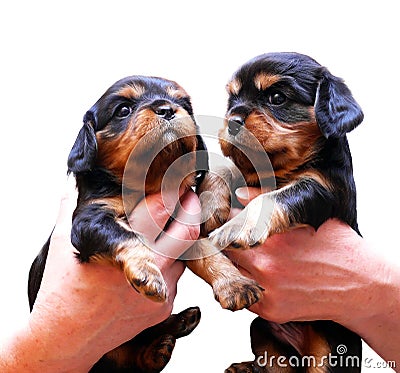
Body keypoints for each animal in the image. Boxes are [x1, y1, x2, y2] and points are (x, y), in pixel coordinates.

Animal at [27, 75, 206, 370]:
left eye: (185, 106)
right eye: (123, 110)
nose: (167, 109)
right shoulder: (89, 219)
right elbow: (125, 234)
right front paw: (148, 273)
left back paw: (176, 329)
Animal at [195, 53, 364, 372]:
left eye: (276, 98)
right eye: (232, 99)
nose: (232, 122)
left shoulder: (323, 188)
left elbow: (276, 197)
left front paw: (238, 226)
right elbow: (227, 168)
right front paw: (208, 205)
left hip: (330, 348)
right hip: (263, 331)